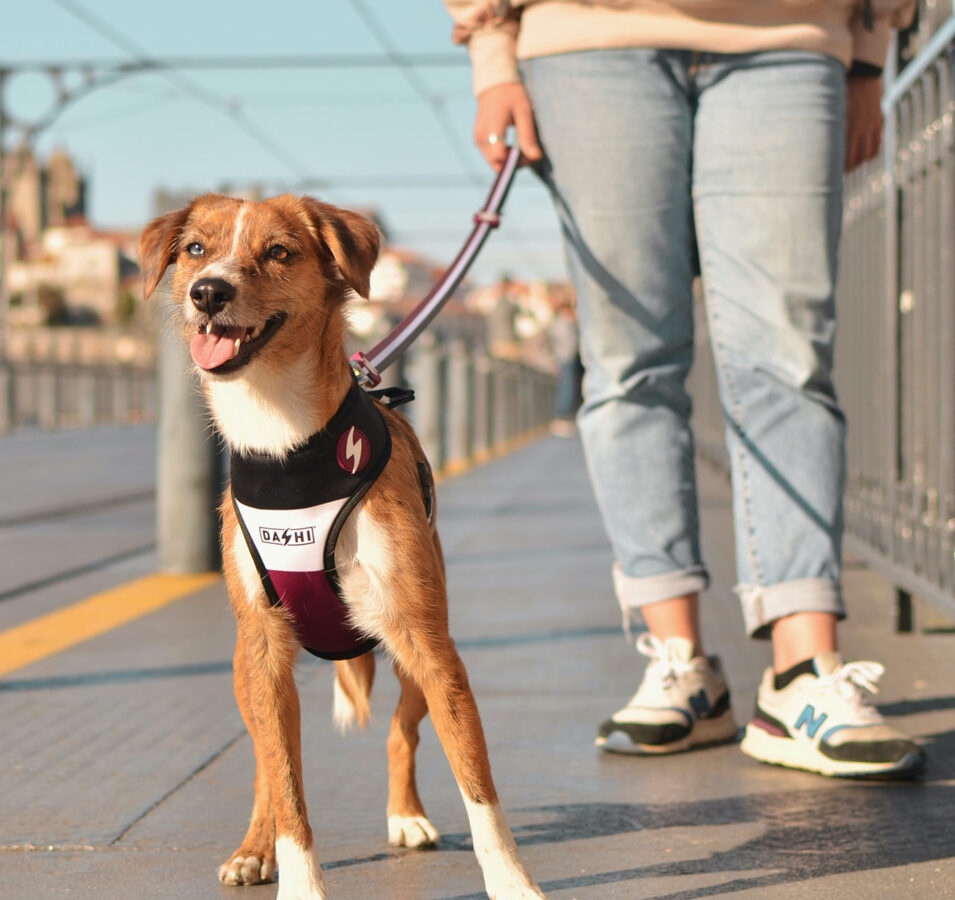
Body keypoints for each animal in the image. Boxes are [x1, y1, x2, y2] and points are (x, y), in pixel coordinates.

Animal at [138, 197, 548, 900]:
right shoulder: (265, 651)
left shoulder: (432, 647)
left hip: (414, 656)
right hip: (249, 674)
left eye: (279, 252)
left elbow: (479, 789)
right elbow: (287, 788)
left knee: (401, 733)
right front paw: (296, 879)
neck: (282, 439)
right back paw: (254, 848)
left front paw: (514, 884)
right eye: (195, 249)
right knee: (264, 765)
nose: (208, 292)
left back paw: (406, 816)